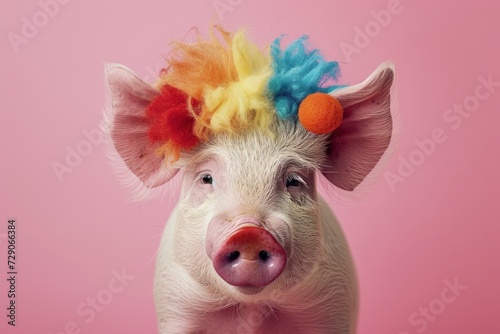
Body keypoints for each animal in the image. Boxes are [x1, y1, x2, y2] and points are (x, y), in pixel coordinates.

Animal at [103, 37, 396, 332]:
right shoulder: (174, 301)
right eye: (206, 178)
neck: (250, 307)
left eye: (293, 181)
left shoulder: (334, 302)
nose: (248, 232)